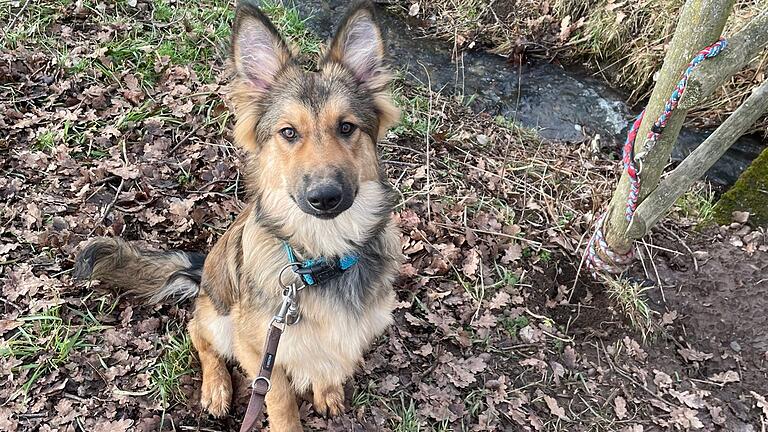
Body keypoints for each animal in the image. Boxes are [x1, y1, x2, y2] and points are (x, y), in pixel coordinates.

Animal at [73, 1, 402, 430]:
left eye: (347, 127)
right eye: (288, 133)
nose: (325, 198)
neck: (321, 254)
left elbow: (329, 366)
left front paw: (327, 392)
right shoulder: (259, 347)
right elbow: (279, 399)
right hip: (220, 316)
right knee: (198, 334)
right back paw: (215, 387)